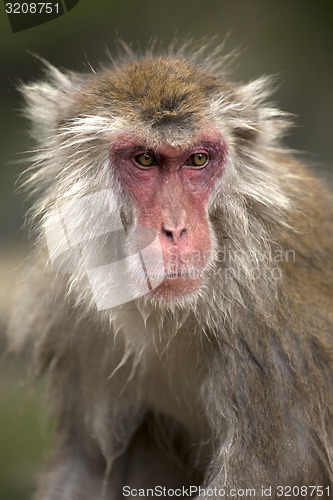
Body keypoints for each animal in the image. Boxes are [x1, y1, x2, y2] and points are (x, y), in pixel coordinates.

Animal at [7, 44, 332, 500]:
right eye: (145, 159)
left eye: (197, 159)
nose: (175, 230)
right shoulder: (74, 323)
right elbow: (86, 464)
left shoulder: (275, 342)